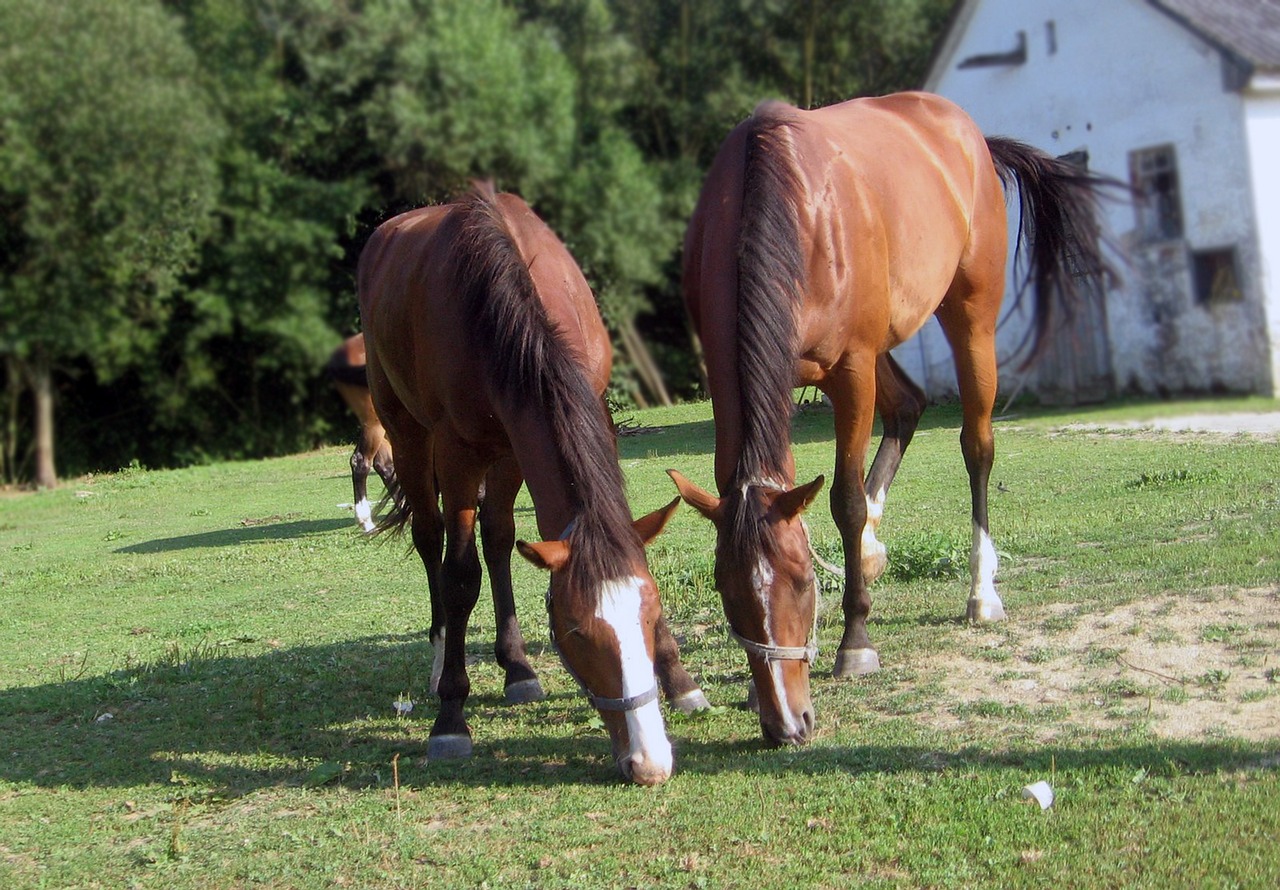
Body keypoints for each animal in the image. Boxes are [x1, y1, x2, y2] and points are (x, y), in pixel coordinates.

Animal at [360, 184, 706, 783]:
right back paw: (440, 660)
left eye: (652, 612)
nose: (650, 762)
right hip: (407, 433)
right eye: (576, 631)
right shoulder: (457, 452)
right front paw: (451, 718)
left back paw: (517, 667)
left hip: (506, 455)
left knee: (499, 539)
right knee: (432, 541)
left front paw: (680, 681)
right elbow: (459, 577)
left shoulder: (583, 418)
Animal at [675, 92, 1116, 742]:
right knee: (907, 407)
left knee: (976, 446)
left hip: (969, 317)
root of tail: (968, 133)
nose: (787, 724)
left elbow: (845, 500)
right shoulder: (729, 377)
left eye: (803, 582)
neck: (788, 205)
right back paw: (873, 552)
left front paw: (855, 643)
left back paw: (981, 593)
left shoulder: (851, 372)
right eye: (725, 589)